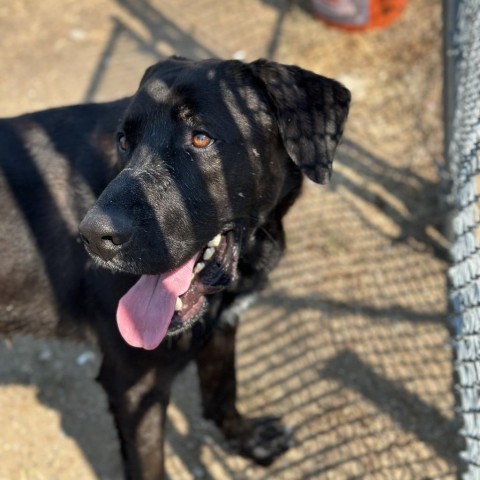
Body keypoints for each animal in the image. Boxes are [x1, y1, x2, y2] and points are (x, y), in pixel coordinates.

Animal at [0, 57, 348, 480]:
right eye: (124, 141)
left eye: (200, 138)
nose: (92, 236)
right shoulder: (135, 385)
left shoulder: (223, 324)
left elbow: (223, 390)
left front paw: (247, 440)